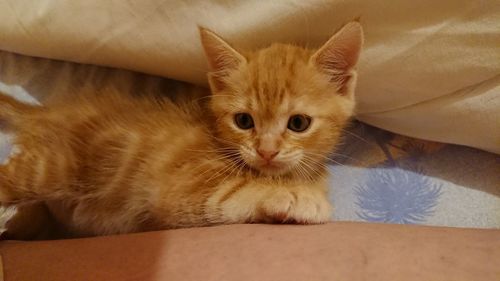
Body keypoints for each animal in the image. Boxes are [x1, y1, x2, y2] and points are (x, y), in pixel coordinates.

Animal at [0, 21, 362, 236]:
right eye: (244, 121)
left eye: (298, 123)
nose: (266, 151)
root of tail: (44, 112)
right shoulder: (180, 192)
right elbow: (234, 193)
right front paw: (294, 196)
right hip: (51, 168)